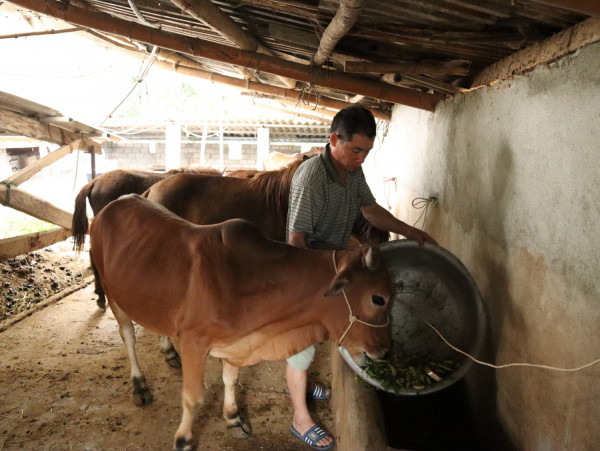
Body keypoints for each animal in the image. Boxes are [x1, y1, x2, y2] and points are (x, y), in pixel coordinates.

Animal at [88, 195, 390, 451]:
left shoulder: (237, 341)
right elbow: (192, 396)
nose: (384, 352)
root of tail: (111, 206)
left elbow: (230, 380)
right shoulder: (194, 341)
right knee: (128, 335)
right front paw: (183, 439)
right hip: (113, 292)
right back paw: (139, 385)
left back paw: (168, 353)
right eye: (378, 298)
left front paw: (233, 418)